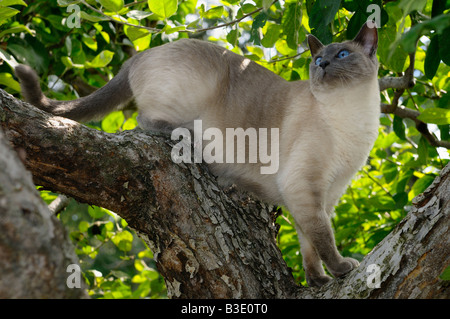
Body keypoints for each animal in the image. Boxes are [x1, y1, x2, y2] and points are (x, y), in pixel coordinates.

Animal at [14, 21, 380, 288]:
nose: (324, 65)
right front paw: (342, 268)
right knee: (143, 120)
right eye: (318, 61)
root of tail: (142, 54)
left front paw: (318, 281)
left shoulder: (325, 195)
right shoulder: (303, 187)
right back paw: (188, 139)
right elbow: (323, 238)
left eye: (342, 55)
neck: (352, 115)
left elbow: (310, 244)